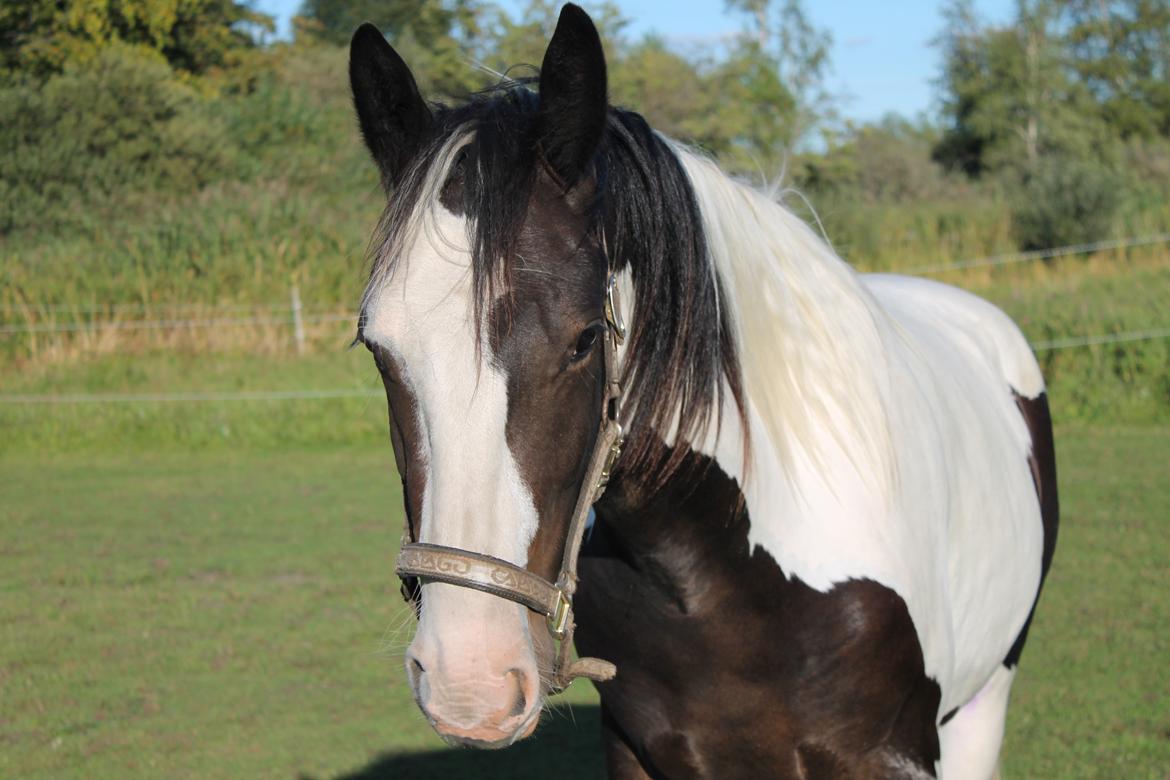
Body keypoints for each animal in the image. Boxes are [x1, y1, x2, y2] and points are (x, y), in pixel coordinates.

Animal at [346, 4, 1062, 776]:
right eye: (377, 348)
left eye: (585, 339)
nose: (467, 680)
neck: (724, 572)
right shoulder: (634, 747)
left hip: (987, 699)